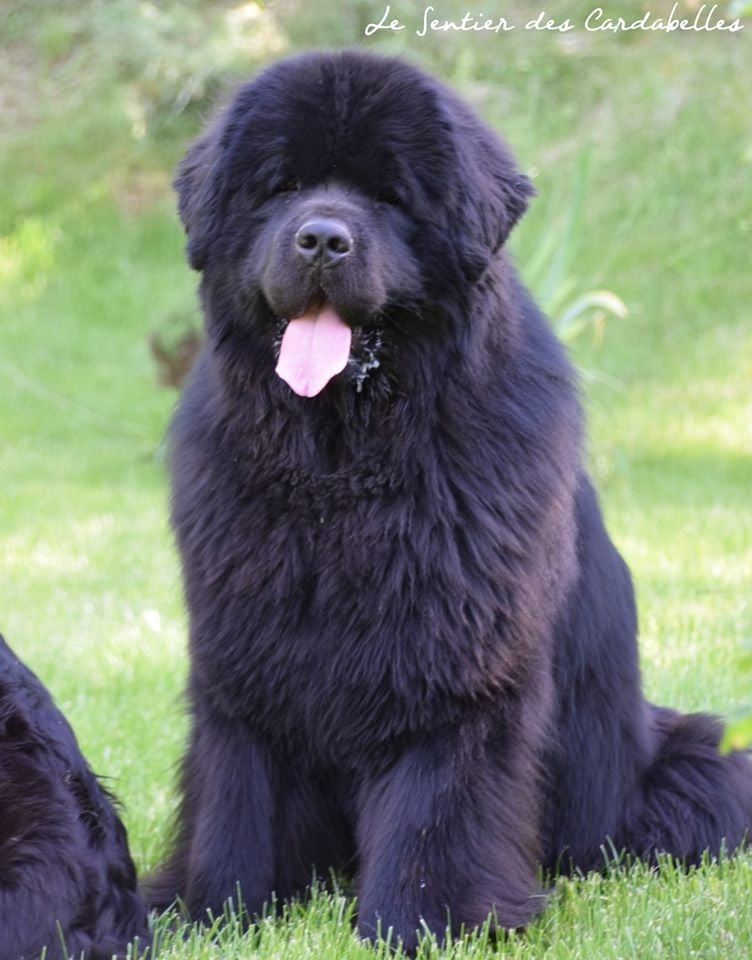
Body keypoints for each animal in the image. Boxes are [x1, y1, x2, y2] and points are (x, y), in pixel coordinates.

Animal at [147, 50, 752, 944]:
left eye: (391, 196)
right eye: (281, 186)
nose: (321, 238)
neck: (340, 466)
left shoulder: (456, 655)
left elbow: (436, 800)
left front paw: (424, 923)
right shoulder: (245, 645)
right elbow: (237, 785)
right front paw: (214, 911)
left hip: (692, 764)